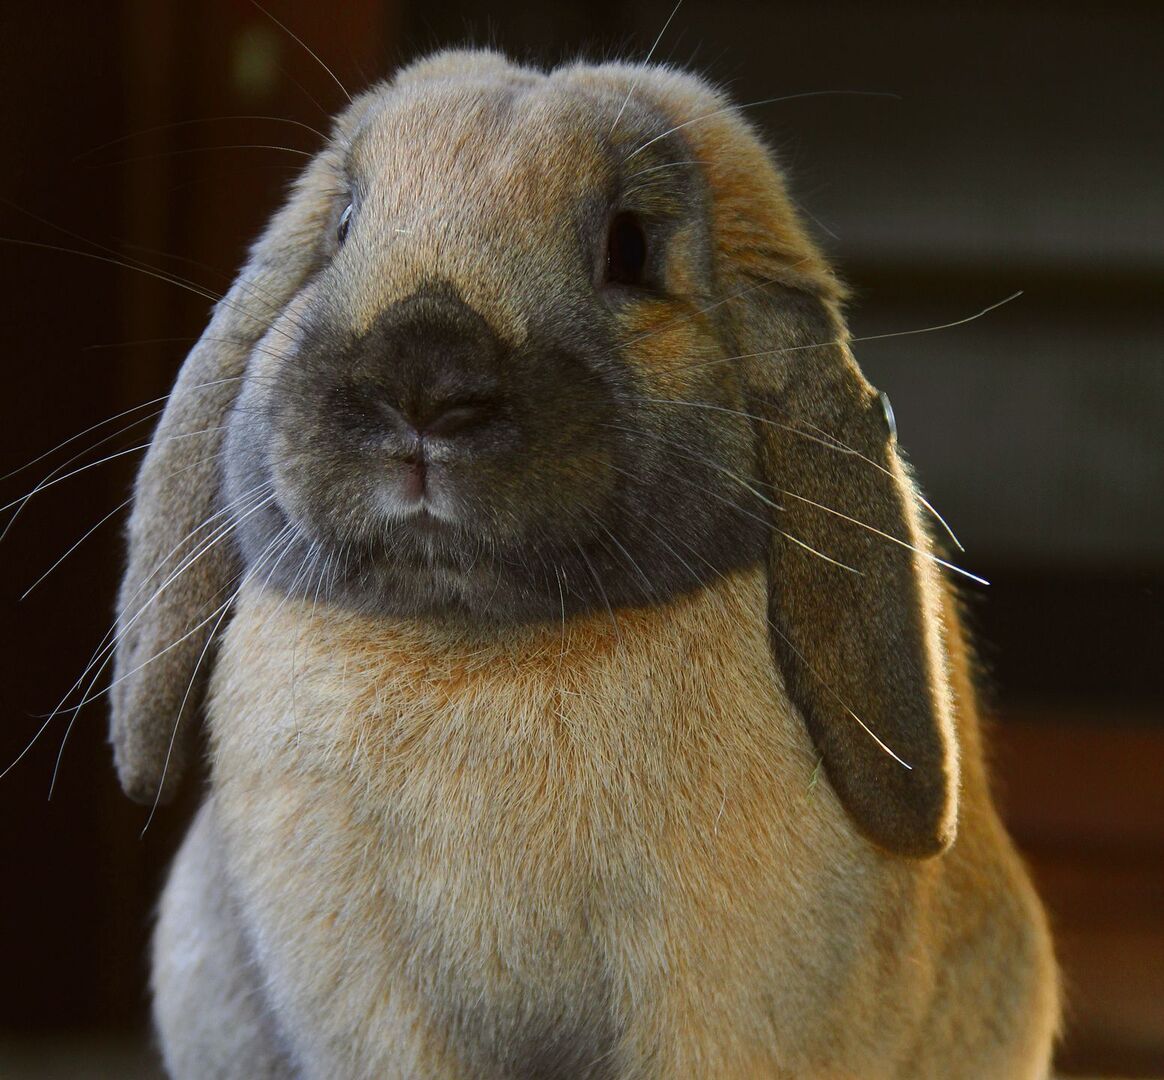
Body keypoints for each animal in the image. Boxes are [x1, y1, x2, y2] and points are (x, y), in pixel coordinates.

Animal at [111, 49, 1059, 1079]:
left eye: (629, 247)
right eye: (344, 224)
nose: (421, 387)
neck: (475, 641)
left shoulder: (725, 997)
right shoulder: (369, 1003)